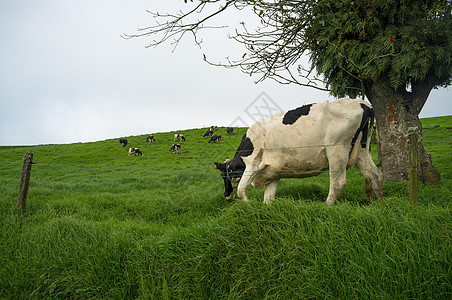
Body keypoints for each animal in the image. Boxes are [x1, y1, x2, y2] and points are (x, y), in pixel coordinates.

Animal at [214, 98, 384, 206]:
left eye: (224, 175)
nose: (226, 195)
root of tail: (364, 104)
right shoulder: (273, 175)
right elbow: (268, 200)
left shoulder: (253, 165)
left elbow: (241, 190)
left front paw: (249, 206)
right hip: (361, 151)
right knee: (376, 175)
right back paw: (379, 202)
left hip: (337, 149)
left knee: (338, 182)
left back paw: (326, 205)